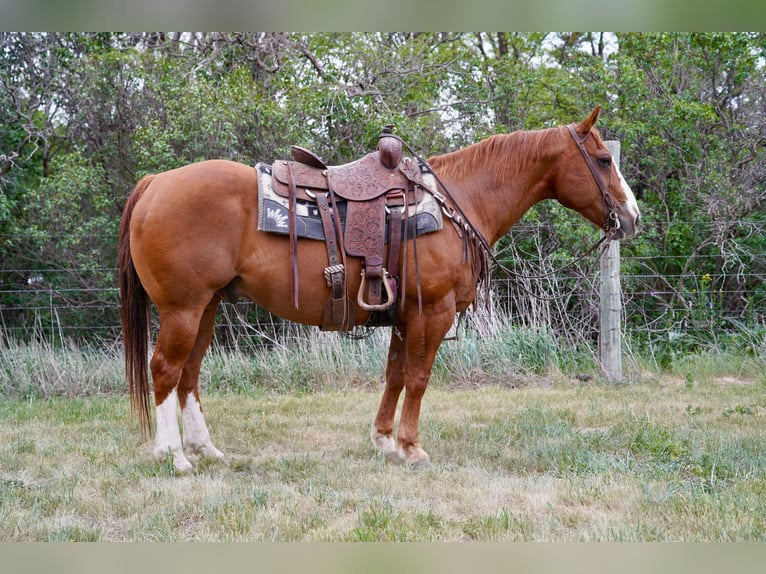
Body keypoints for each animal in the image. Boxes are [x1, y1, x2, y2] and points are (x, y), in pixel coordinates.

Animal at [119, 106, 640, 472]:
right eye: (603, 159)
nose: (633, 217)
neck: (456, 201)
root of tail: (154, 183)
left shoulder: (403, 315)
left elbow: (394, 376)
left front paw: (385, 441)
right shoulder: (432, 312)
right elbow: (418, 378)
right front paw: (411, 447)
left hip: (206, 307)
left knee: (188, 375)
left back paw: (204, 449)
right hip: (183, 309)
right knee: (165, 370)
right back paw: (173, 456)